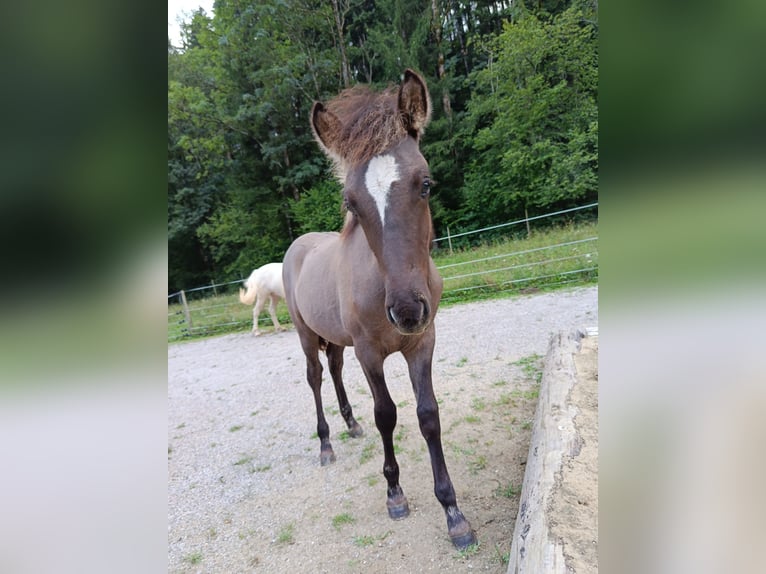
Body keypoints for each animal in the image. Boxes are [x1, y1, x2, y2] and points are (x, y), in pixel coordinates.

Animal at [282, 69, 476, 550]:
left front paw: (454, 513)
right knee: (316, 377)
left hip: (335, 339)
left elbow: (428, 415)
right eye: (350, 202)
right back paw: (327, 444)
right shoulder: (370, 353)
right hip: (305, 334)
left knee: (334, 369)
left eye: (426, 183)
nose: (407, 309)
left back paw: (351, 425)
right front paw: (395, 494)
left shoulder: (422, 342)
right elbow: (387, 414)